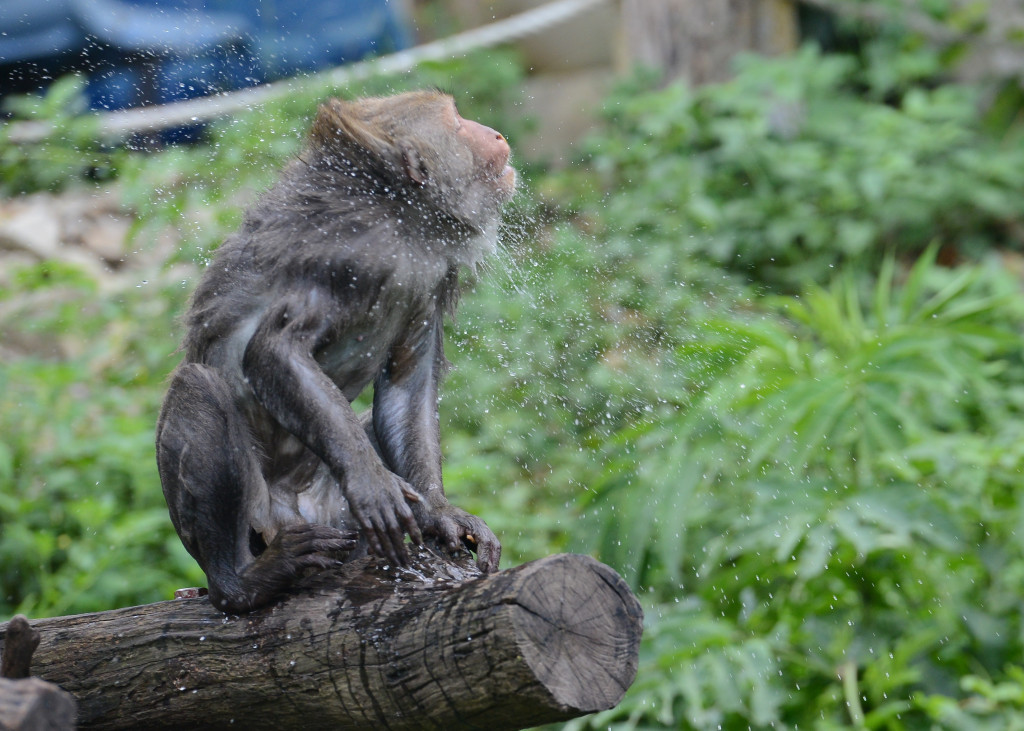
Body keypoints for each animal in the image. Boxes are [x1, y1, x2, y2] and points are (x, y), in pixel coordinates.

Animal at [154, 92, 512, 614]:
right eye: (457, 121)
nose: (498, 133)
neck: (404, 220)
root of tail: (294, 511)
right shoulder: (346, 250)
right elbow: (272, 350)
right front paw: (370, 482)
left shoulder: (430, 277)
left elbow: (407, 384)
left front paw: (441, 514)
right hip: (261, 517)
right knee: (199, 386)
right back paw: (240, 582)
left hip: (334, 515)